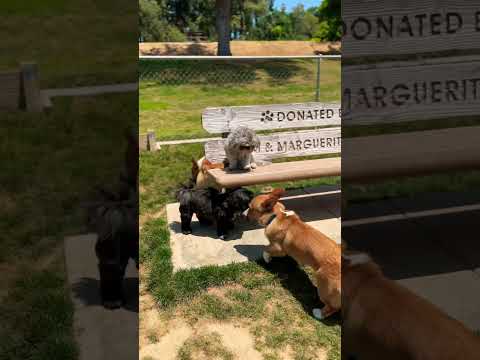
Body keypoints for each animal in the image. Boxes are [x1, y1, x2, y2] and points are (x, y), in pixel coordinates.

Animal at [248, 188, 342, 318]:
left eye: (250, 208)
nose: (243, 214)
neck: (276, 215)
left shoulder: (279, 249)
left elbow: (266, 249)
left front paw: (267, 258)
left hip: (324, 285)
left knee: (331, 307)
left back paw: (318, 313)